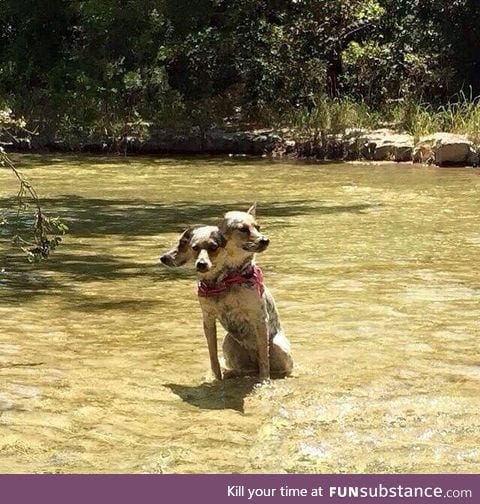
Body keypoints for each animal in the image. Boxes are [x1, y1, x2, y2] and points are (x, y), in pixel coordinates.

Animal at [160, 204, 292, 378]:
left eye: (258, 227)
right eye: (243, 229)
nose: (265, 240)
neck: (224, 281)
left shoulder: (259, 318)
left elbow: (265, 358)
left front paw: (264, 380)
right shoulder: (208, 319)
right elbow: (213, 356)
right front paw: (216, 378)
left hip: (278, 348)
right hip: (228, 343)